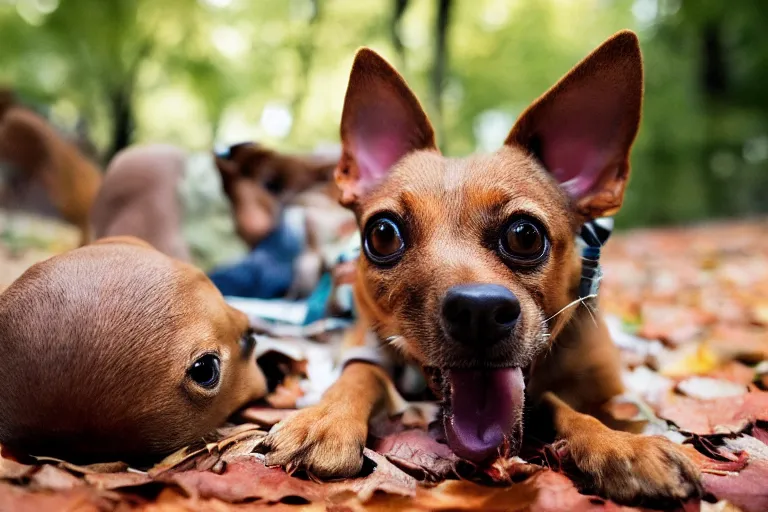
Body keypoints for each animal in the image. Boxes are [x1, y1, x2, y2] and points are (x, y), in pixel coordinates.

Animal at [264, 30, 704, 506]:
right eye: (382, 234)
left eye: (525, 235)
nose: (479, 310)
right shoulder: (365, 345)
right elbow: (359, 375)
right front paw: (326, 418)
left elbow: (564, 405)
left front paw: (619, 445)